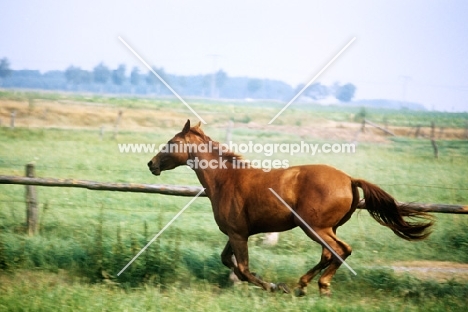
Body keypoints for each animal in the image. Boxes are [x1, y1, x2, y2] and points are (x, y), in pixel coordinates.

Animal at [148, 120, 434, 296]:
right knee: (330, 254)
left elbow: (243, 269)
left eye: (171, 142)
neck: (226, 179)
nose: (152, 164)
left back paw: (320, 285)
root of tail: (349, 179)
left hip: (315, 227)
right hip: (328, 228)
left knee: (341, 250)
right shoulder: (237, 233)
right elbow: (228, 261)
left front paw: (276, 286)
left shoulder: (238, 234)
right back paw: (305, 285)